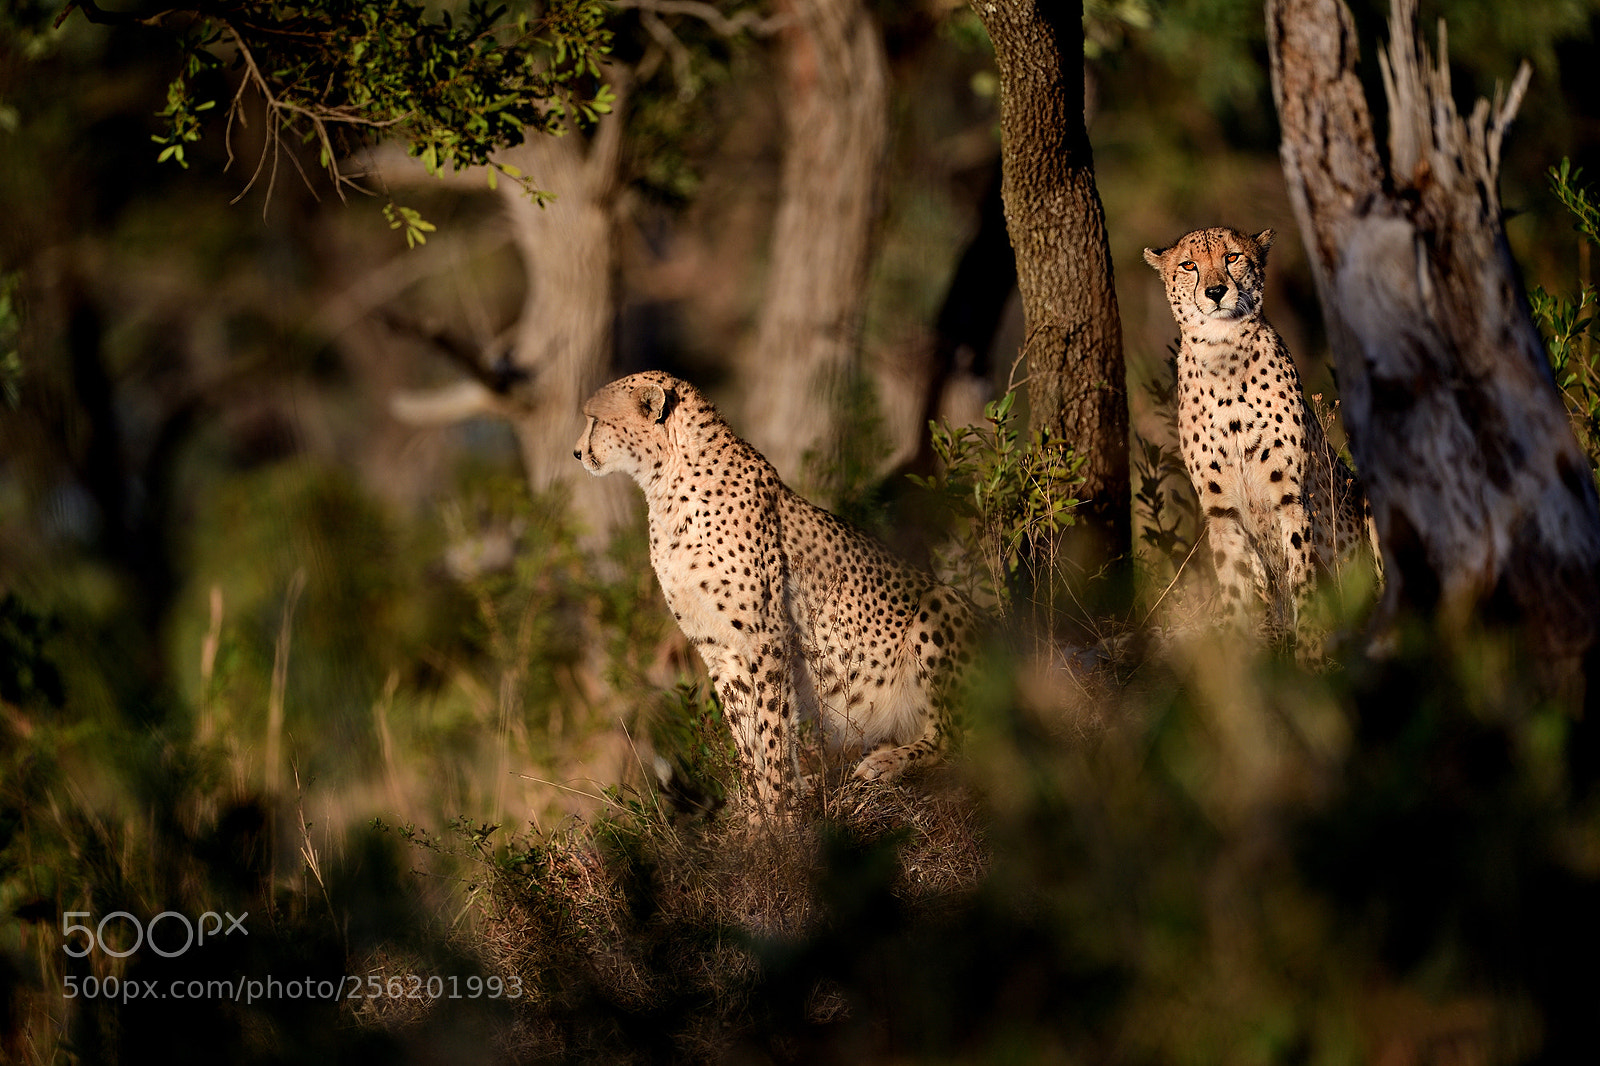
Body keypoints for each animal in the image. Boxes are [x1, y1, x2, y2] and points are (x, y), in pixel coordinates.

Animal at [574, 371, 976, 818]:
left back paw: (883, 764)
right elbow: (745, 732)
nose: (577, 453)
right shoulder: (718, 646)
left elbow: (773, 724)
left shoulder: (765, 635)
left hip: (942, 602)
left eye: (596, 419)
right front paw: (757, 815)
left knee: (957, 738)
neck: (665, 486)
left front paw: (781, 811)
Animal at [1143, 226, 1377, 647]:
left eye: (1232, 257)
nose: (1216, 291)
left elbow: (1301, 575)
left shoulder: (1291, 498)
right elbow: (1234, 581)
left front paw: (1310, 646)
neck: (1224, 354)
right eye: (1189, 265)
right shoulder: (1221, 511)